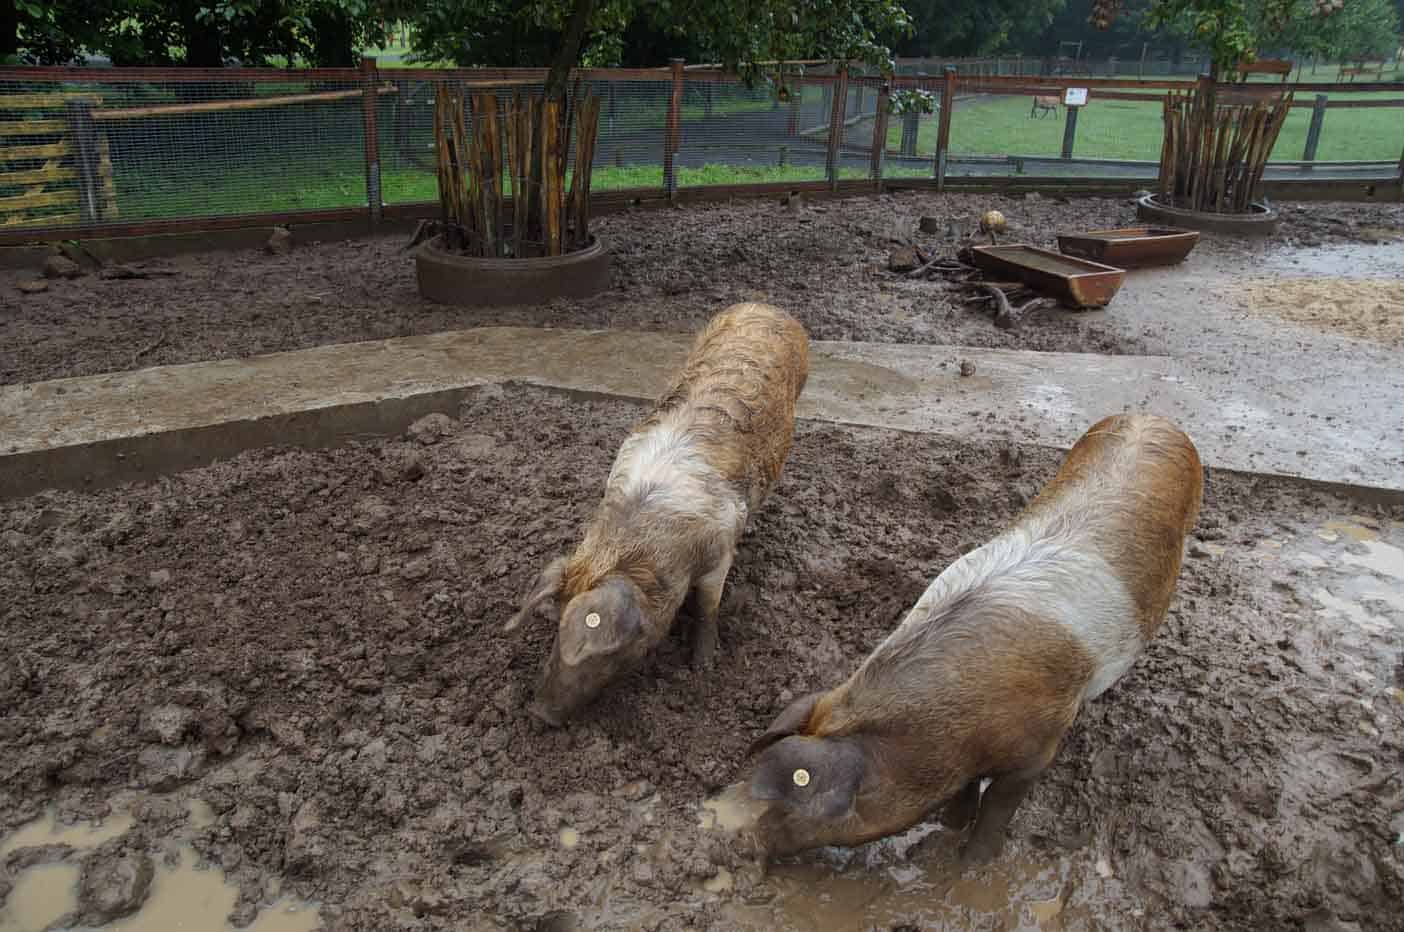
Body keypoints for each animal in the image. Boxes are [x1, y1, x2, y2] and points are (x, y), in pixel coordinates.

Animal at [505, 305, 814, 729]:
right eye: (555, 628)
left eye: (611, 655)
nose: (540, 715)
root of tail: (767, 307)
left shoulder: (720, 554)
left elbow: (707, 608)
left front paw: (703, 667)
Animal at [730, 415, 1201, 864]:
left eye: (795, 812)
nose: (742, 844)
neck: (952, 733)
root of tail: (1156, 419)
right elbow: (966, 791)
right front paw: (948, 828)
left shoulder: (1039, 748)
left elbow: (998, 805)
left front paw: (971, 864)